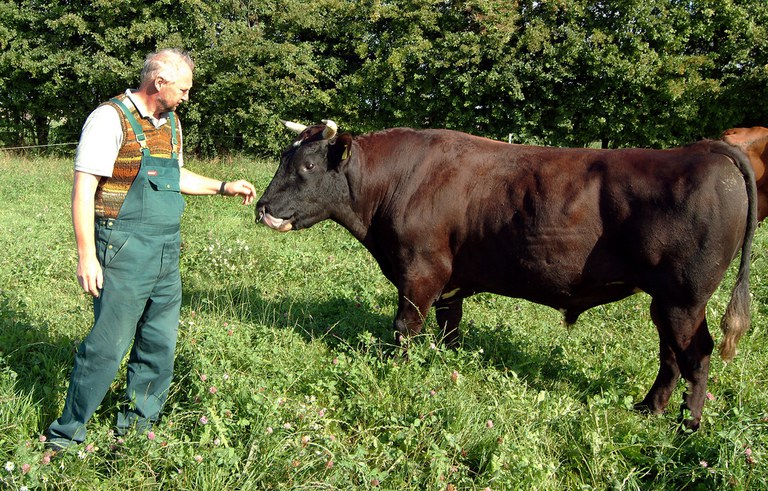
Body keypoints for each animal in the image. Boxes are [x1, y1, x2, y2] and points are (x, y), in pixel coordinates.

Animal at [256, 120, 756, 430]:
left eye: (307, 166)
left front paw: (395, 374)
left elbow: (404, 329)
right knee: (671, 355)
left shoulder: (420, 272)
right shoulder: (450, 281)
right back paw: (649, 409)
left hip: (683, 298)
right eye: (282, 159)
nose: (261, 208)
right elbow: (450, 328)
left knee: (695, 355)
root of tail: (705, 150)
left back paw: (688, 426)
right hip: (667, 300)